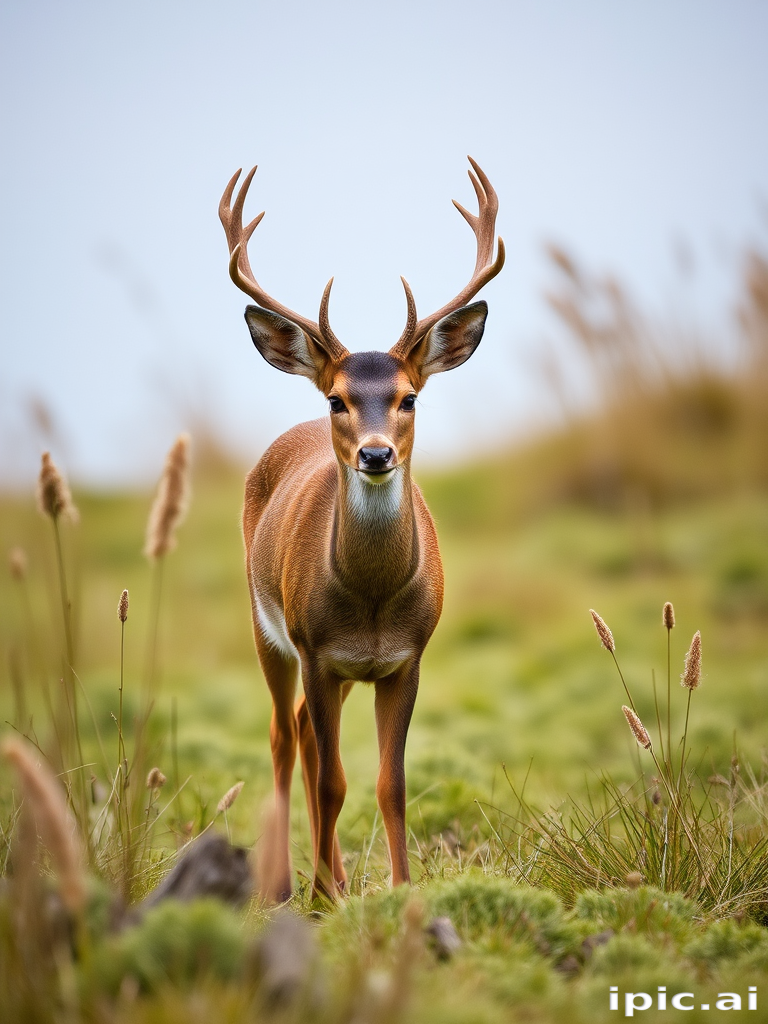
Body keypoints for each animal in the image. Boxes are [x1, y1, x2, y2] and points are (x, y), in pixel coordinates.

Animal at [219, 158, 504, 901]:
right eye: (337, 399)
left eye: (409, 397)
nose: (376, 454)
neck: (372, 601)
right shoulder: (316, 648)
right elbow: (332, 782)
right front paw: (323, 895)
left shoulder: (403, 659)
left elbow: (388, 784)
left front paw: (402, 891)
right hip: (266, 627)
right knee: (285, 737)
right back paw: (286, 884)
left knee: (303, 734)